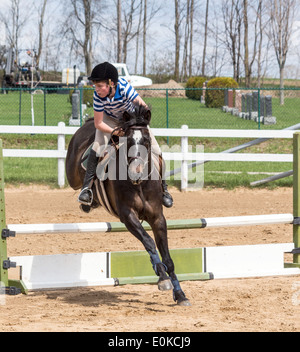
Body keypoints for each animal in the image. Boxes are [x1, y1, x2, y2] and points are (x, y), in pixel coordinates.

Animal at [67, 105, 191, 306]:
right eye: (128, 141)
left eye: (147, 141)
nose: (136, 173)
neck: (139, 185)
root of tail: (87, 124)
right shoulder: (128, 216)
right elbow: (149, 242)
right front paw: (162, 278)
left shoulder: (157, 218)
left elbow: (167, 257)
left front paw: (180, 295)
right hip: (73, 175)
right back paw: (86, 197)